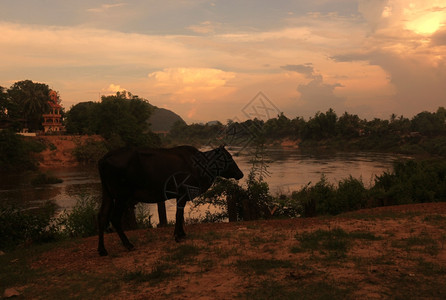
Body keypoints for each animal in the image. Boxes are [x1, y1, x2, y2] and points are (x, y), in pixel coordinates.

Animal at [97, 145, 244, 255]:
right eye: (229, 158)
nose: (241, 173)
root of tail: (104, 158)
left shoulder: (181, 196)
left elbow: (180, 214)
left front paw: (181, 234)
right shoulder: (183, 193)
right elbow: (179, 214)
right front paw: (177, 236)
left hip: (107, 193)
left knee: (102, 217)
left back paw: (102, 250)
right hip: (121, 195)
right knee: (114, 218)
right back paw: (128, 245)